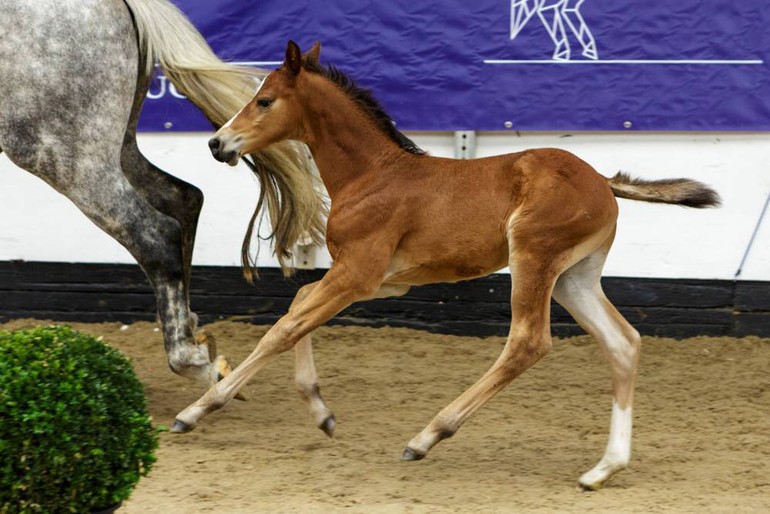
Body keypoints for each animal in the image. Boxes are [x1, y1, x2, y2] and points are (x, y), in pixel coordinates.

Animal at [0, 0, 324, 384]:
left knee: (154, 234)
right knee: (185, 199)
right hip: (119, 149)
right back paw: (193, 333)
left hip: (67, 156)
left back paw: (192, 359)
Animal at [177, 42, 716, 486]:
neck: (372, 174)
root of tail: (603, 181)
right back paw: (603, 468)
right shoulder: (384, 279)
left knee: (528, 342)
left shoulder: (359, 272)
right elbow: (300, 303)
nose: (217, 143)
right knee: (623, 342)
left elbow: (283, 327)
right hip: (573, 278)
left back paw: (427, 437)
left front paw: (199, 409)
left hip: (534, 258)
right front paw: (320, 411)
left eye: (265, 101)